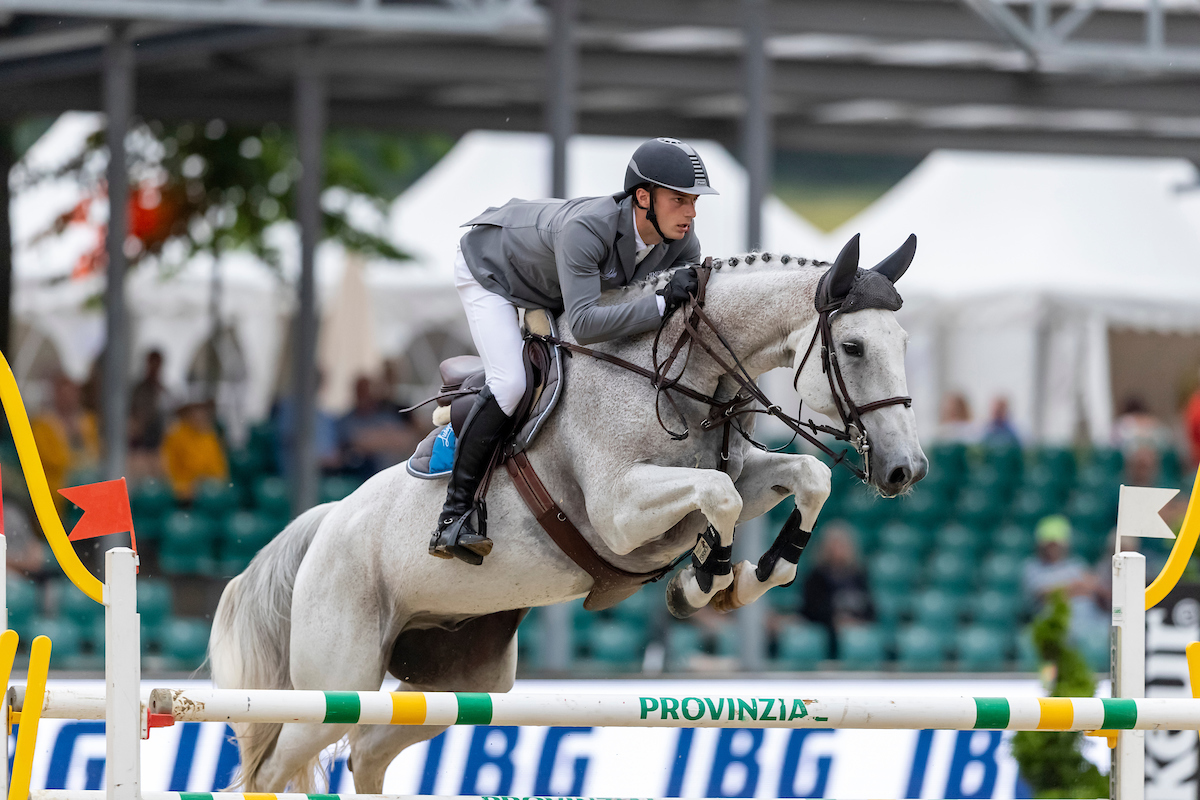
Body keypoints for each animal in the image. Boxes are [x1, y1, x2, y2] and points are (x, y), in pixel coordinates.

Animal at [208, 235, 926, 791]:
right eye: (854, 347)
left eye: (904, 341)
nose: (906, 469)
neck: (680, 370)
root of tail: (325, 523)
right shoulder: (618, 511)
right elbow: (717, 497)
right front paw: (706, 580)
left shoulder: (736, 474)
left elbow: (802, 479)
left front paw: (747, 575)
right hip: (334, 683)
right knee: (276, 766)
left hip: (459, 682)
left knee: (367, 753)